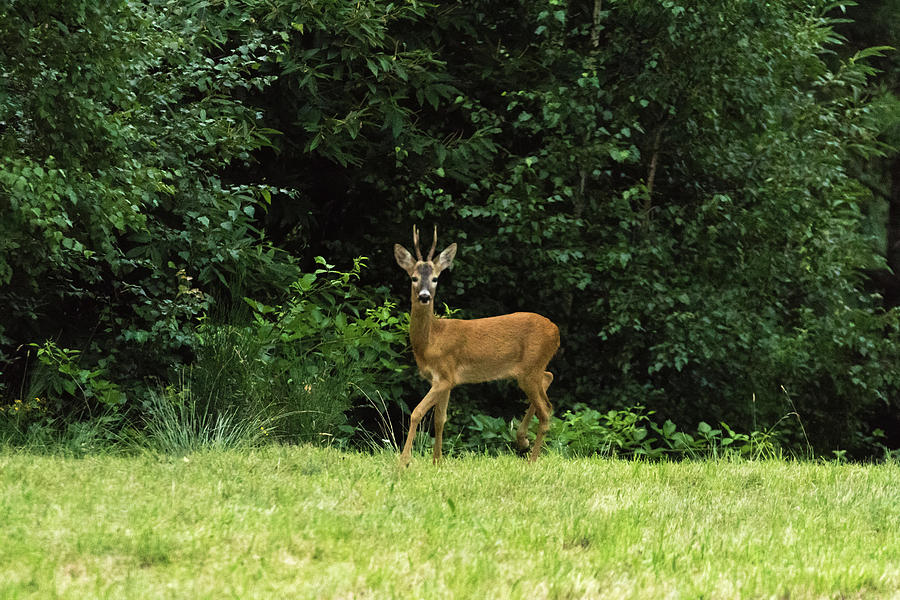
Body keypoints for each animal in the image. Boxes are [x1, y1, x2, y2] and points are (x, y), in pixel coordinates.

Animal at [392, 225, 556, 464]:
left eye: (435, 278)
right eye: (413, 278)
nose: (424, 296)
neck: (432, 339)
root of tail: (556, 331)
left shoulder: (444, 375)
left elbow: (416, 413)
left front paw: (404, 461)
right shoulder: (445, 380)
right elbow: (440, 419)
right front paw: (437, 461)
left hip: (531, 368)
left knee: (547, 409)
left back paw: (531, 459)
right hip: (531, 370)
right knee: (548, 380)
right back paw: (522, 440)